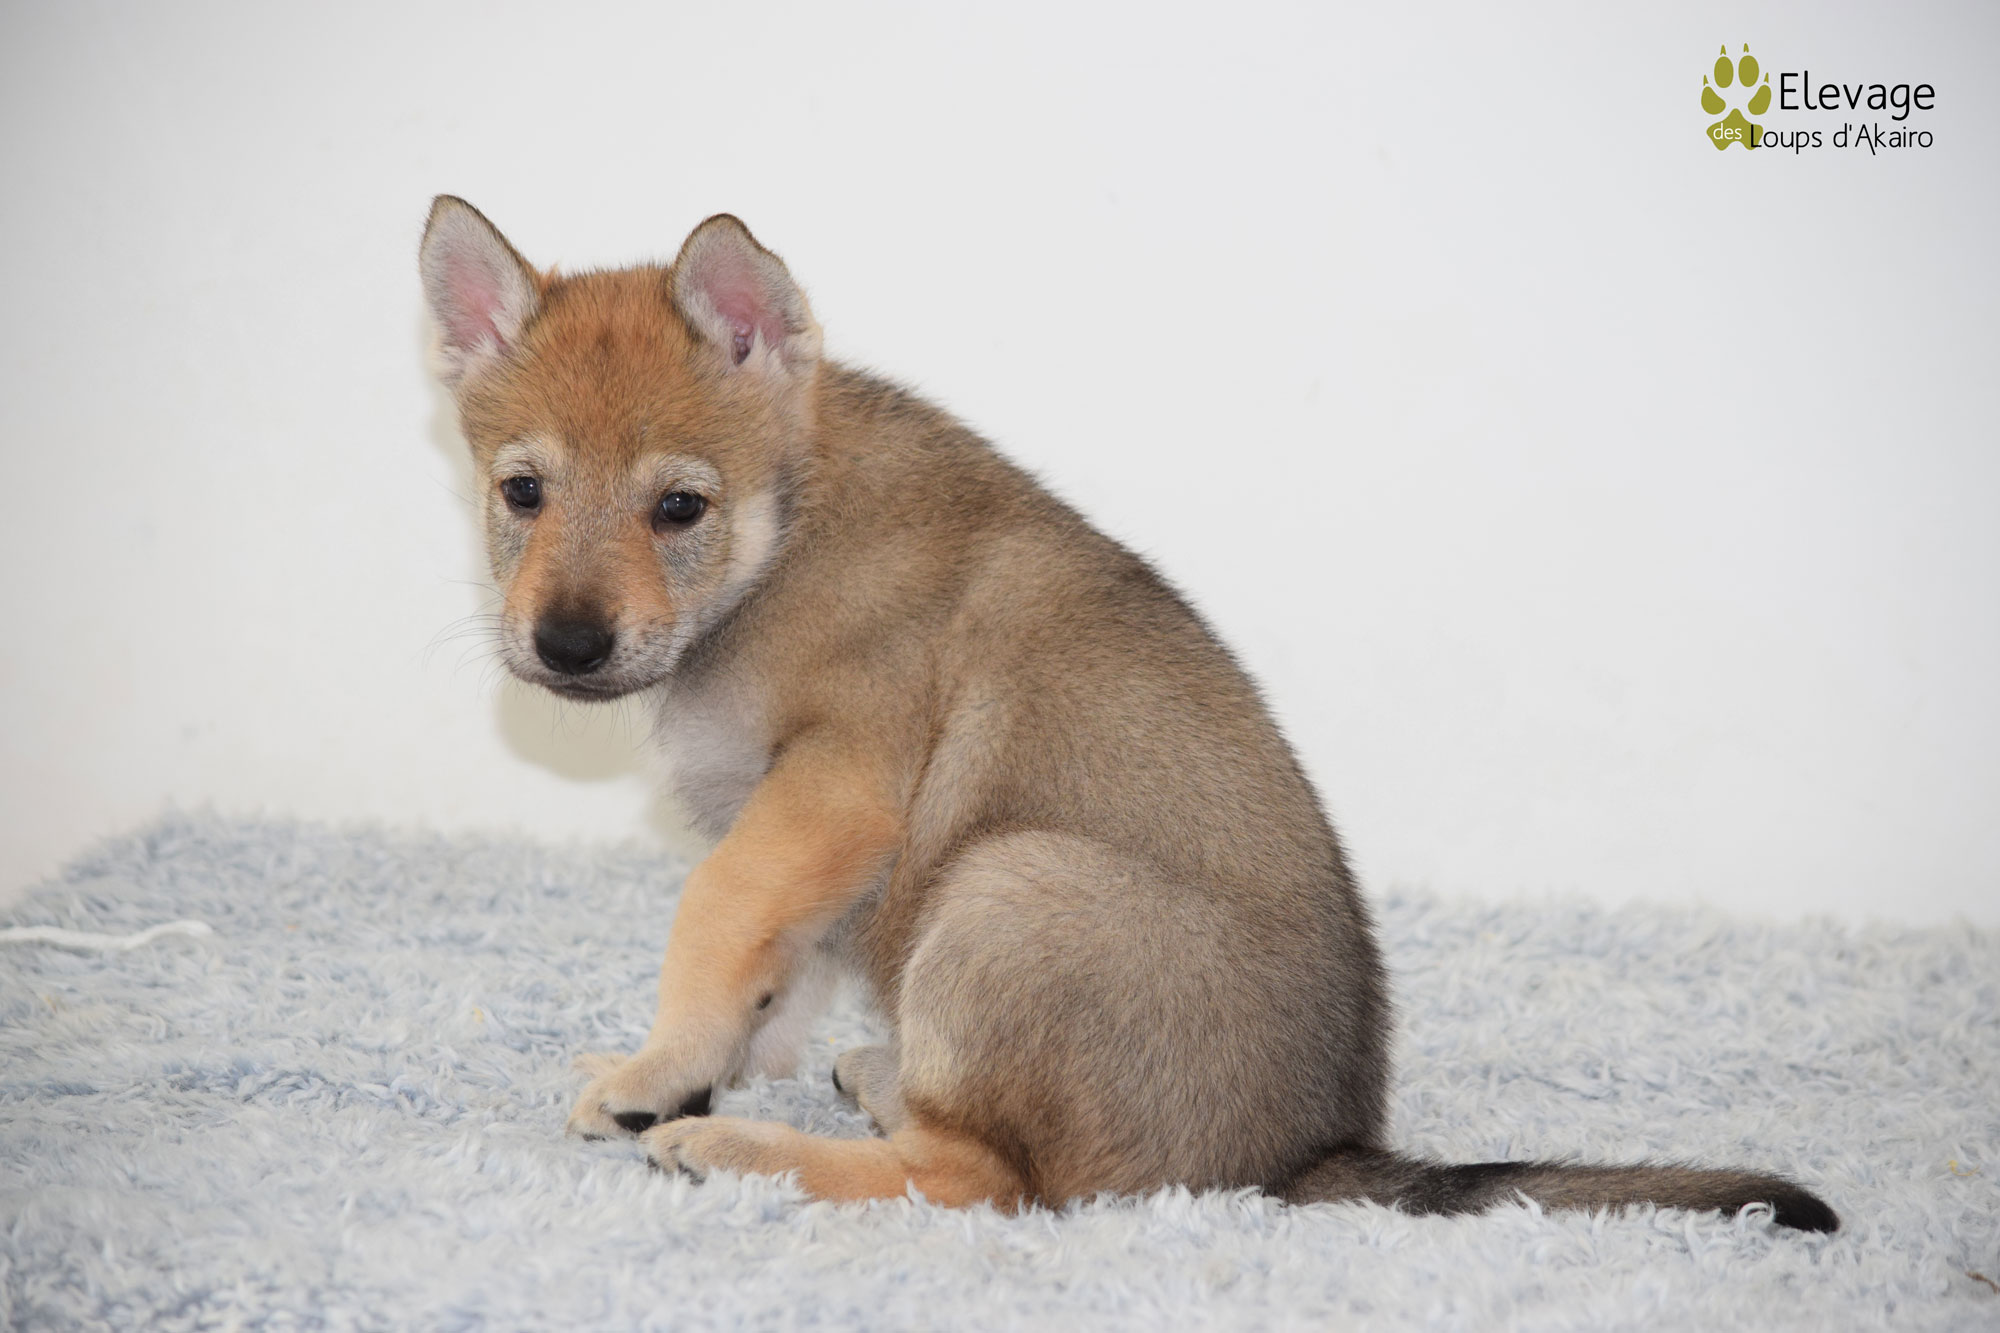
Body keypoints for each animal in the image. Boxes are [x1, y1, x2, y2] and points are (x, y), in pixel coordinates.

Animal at [417, 196, 1837, 1232]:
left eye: (679, 508)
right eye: (523, 492)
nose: (566, 643)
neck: (788, 531)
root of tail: (1308, 1157)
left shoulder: (832, 789)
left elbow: (709, 919)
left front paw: (660, 1079)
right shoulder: (803, 847)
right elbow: (777, 966)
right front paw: (717, 1055)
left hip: (1003, 887)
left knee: (988, 1180)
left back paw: (739, 1148)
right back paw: (867, 1079)